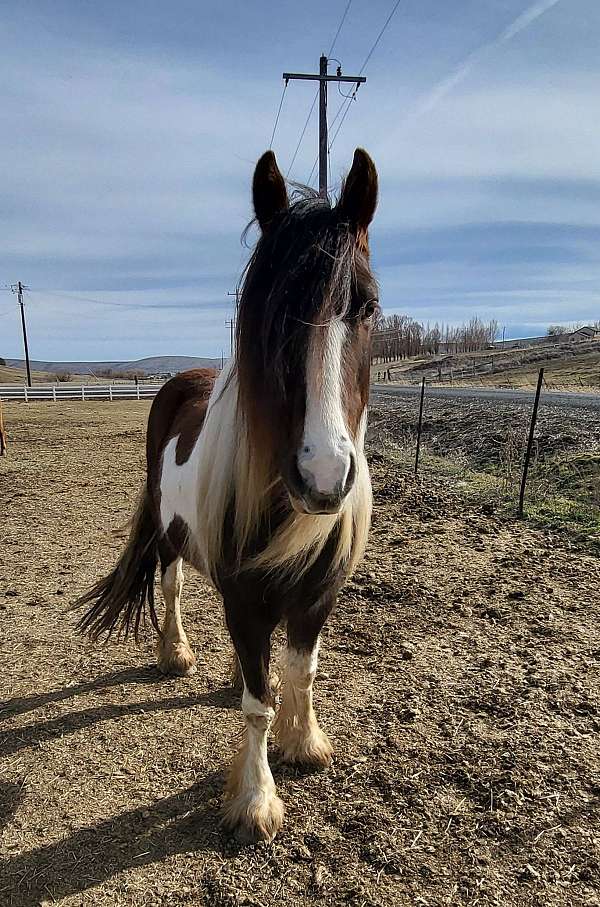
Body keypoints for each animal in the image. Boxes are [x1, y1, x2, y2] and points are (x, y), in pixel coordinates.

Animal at [75, 149, 380, 844]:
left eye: (369, 307)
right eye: (266, 311)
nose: (323, 478)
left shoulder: (316, 596)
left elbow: (299, 673)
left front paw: (305, 744)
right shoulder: (245, 595)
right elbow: (257, 705)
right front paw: (255, 801)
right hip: (170, 538)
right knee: (171, 588)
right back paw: (177, 654)